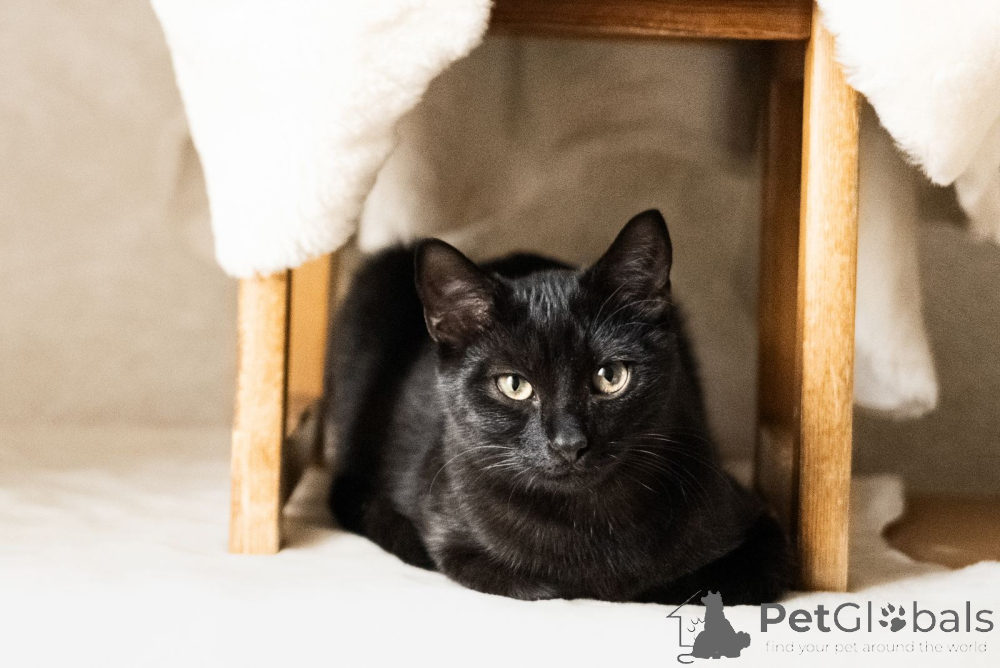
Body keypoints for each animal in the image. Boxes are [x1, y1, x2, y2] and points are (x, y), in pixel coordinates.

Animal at [325, 209, 792, 604]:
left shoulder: (762, 527)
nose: (569, 443)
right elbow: (538, 583)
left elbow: (699, 583)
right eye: (514, 385)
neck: (586, 520)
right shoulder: (458, 545)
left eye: (611, 376)